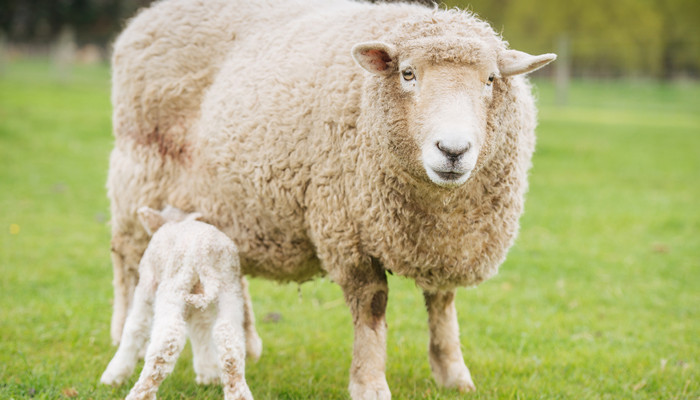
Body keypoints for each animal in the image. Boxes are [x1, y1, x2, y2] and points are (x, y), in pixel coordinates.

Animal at [102, 206, 256, 400]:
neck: (174, 221)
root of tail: (205, 254)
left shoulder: (147, 284)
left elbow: (135, 326)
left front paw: (114, 375)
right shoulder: (199, 302)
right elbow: (200, 328)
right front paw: (208, 374)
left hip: (173, 285)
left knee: (167, 340)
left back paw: (140, 394)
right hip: (229, 291)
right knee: (228, 340)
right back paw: (239, 394)